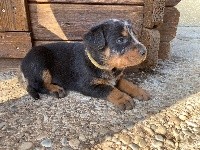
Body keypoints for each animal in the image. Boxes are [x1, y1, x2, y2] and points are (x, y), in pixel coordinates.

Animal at [19, 19, 150, 110]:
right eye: (120, 40)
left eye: (135, 36)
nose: (144, 51)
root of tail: (22, 63)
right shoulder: (87, 86)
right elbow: (109, 89)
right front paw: (123, 98)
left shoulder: (117, 78)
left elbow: (128, 83)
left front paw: (140, 92)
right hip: (39, 62)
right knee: (37, 85)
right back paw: (55, 89)